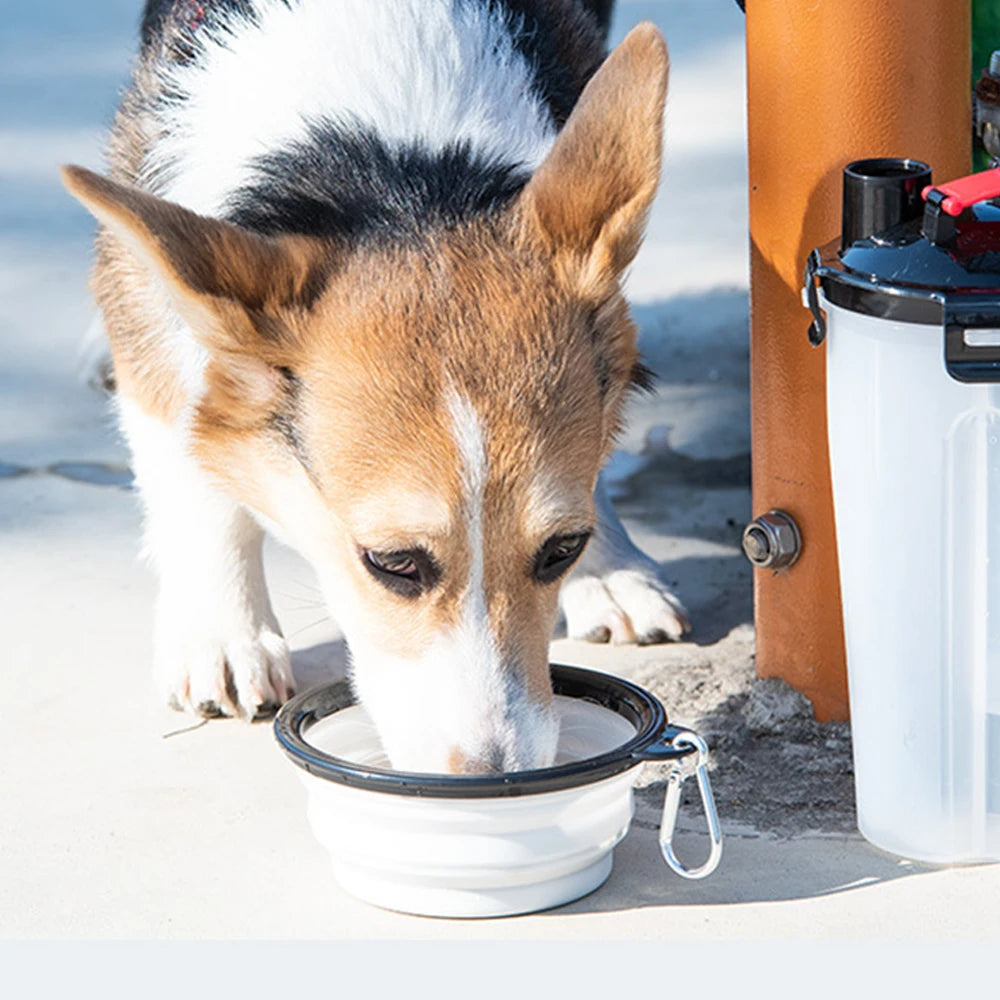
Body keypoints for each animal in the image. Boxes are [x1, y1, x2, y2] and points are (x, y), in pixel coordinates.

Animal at [62, 0, 688, 772]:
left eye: (562, 549)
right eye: (392, 564)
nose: (495, 778)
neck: (393, 172)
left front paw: (608, 565)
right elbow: (190, 454)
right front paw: (223, 631)